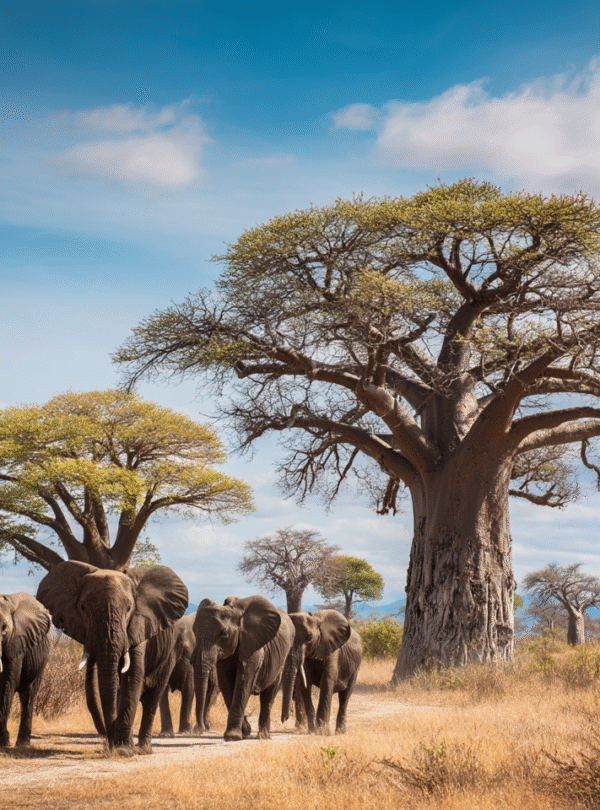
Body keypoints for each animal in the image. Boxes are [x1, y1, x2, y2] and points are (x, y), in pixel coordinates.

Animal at [0, 592, 52, 747]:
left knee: (28, 697)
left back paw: (23, 744)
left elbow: (7, 684)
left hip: (42, 662)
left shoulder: (17, 645)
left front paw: (4, 742)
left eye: (4, 627)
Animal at [37, 561, 188, 752]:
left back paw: (143, 750)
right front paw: (119, 746)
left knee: (153, 695)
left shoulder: (138, 626)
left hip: (169, 652)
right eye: (83, 608)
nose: (108, 740)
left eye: (129, 608)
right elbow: (114, 685)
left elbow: (132, 675)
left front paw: (123, 751)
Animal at [193, 595, 294, 741]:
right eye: (194, 631)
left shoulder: (253, 647)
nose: (201, 729)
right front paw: (245, 731)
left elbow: (244, 682)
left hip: (281, 660)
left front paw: (232, 736)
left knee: (268, 697)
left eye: (223, 633)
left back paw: (264, 736)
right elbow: (226, 685)